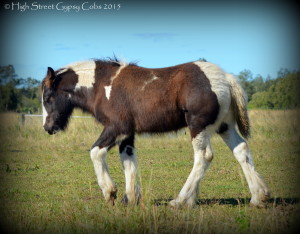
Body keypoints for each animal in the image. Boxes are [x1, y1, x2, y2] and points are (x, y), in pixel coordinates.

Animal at [40, 57, 270, 207]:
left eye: (48, 97)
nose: (48, 127)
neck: (102, 86)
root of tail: (225, 78)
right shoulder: (128, 134)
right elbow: (128, 161)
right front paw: (130, 199)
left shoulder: (117, 127)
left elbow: (95, 152)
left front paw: (110, 192)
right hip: (224, 126)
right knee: (241, 150)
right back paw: (258, 197)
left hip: (198, 126)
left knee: (204, 156)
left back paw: (181, 201)